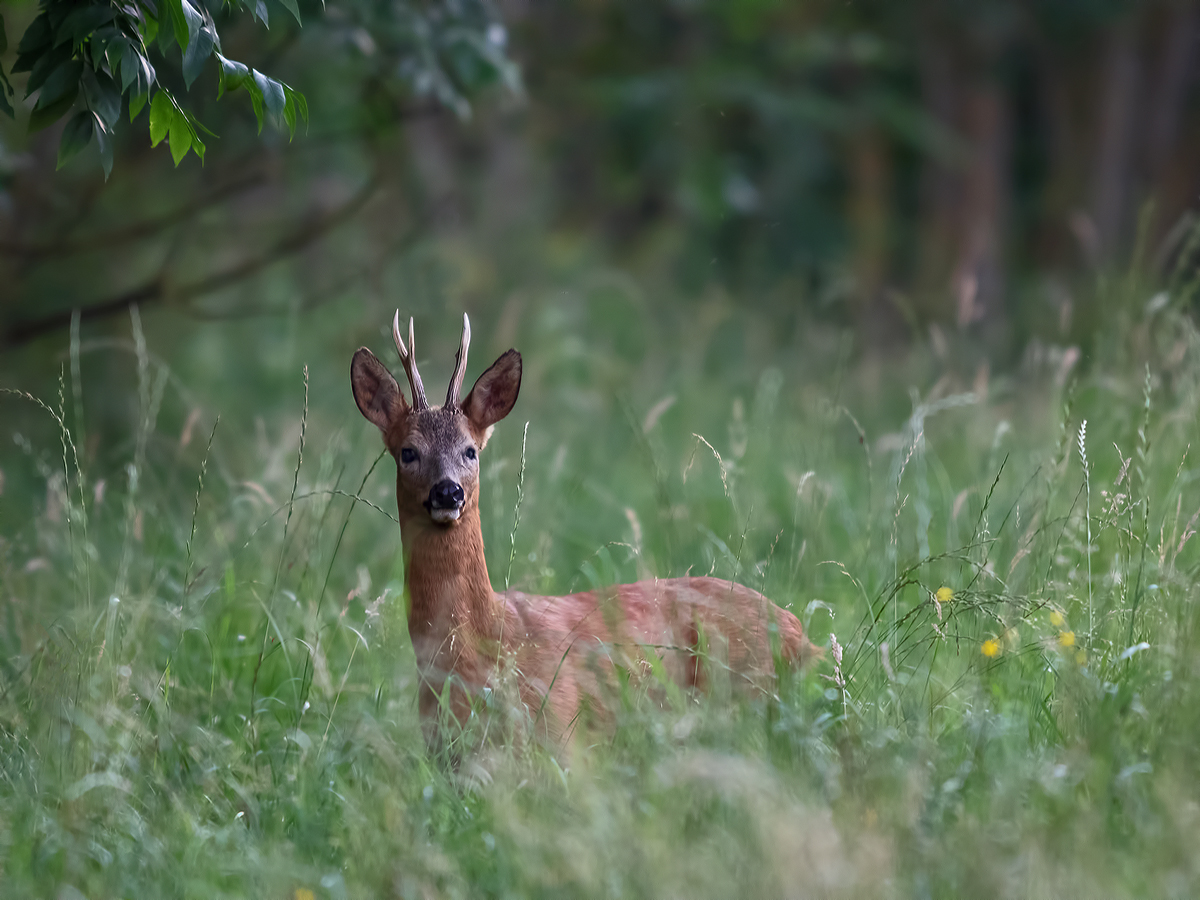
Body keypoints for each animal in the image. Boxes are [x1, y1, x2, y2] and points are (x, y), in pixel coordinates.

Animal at [350, 314, 820, 748]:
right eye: (408, 452)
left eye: (470, 451)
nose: (448, 492)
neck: (481, 649)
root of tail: (800, 632)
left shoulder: (563, 732)